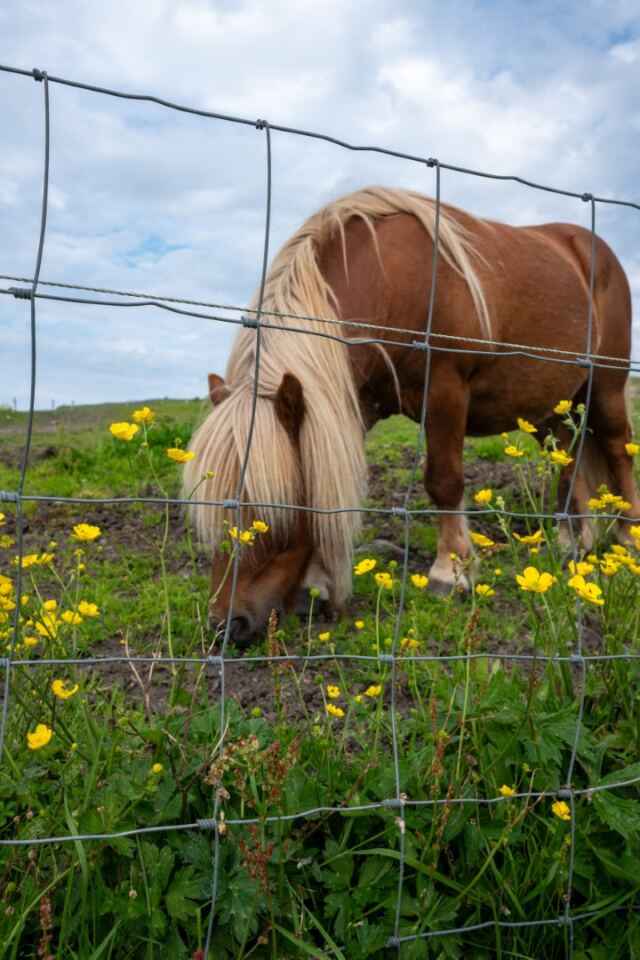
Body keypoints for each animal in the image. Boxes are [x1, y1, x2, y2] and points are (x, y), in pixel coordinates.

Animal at [184, 186, 640, 645]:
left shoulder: (444, 388)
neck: (392, 280)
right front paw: (319, 580)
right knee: (568, 459)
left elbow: (443, 481)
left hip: (605, 384)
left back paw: (627, 534)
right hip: (552, 407)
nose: (227, 624)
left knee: (617, 448)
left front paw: (450, 572)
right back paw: (572, 541)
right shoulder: (351, 402)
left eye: (273, 511)